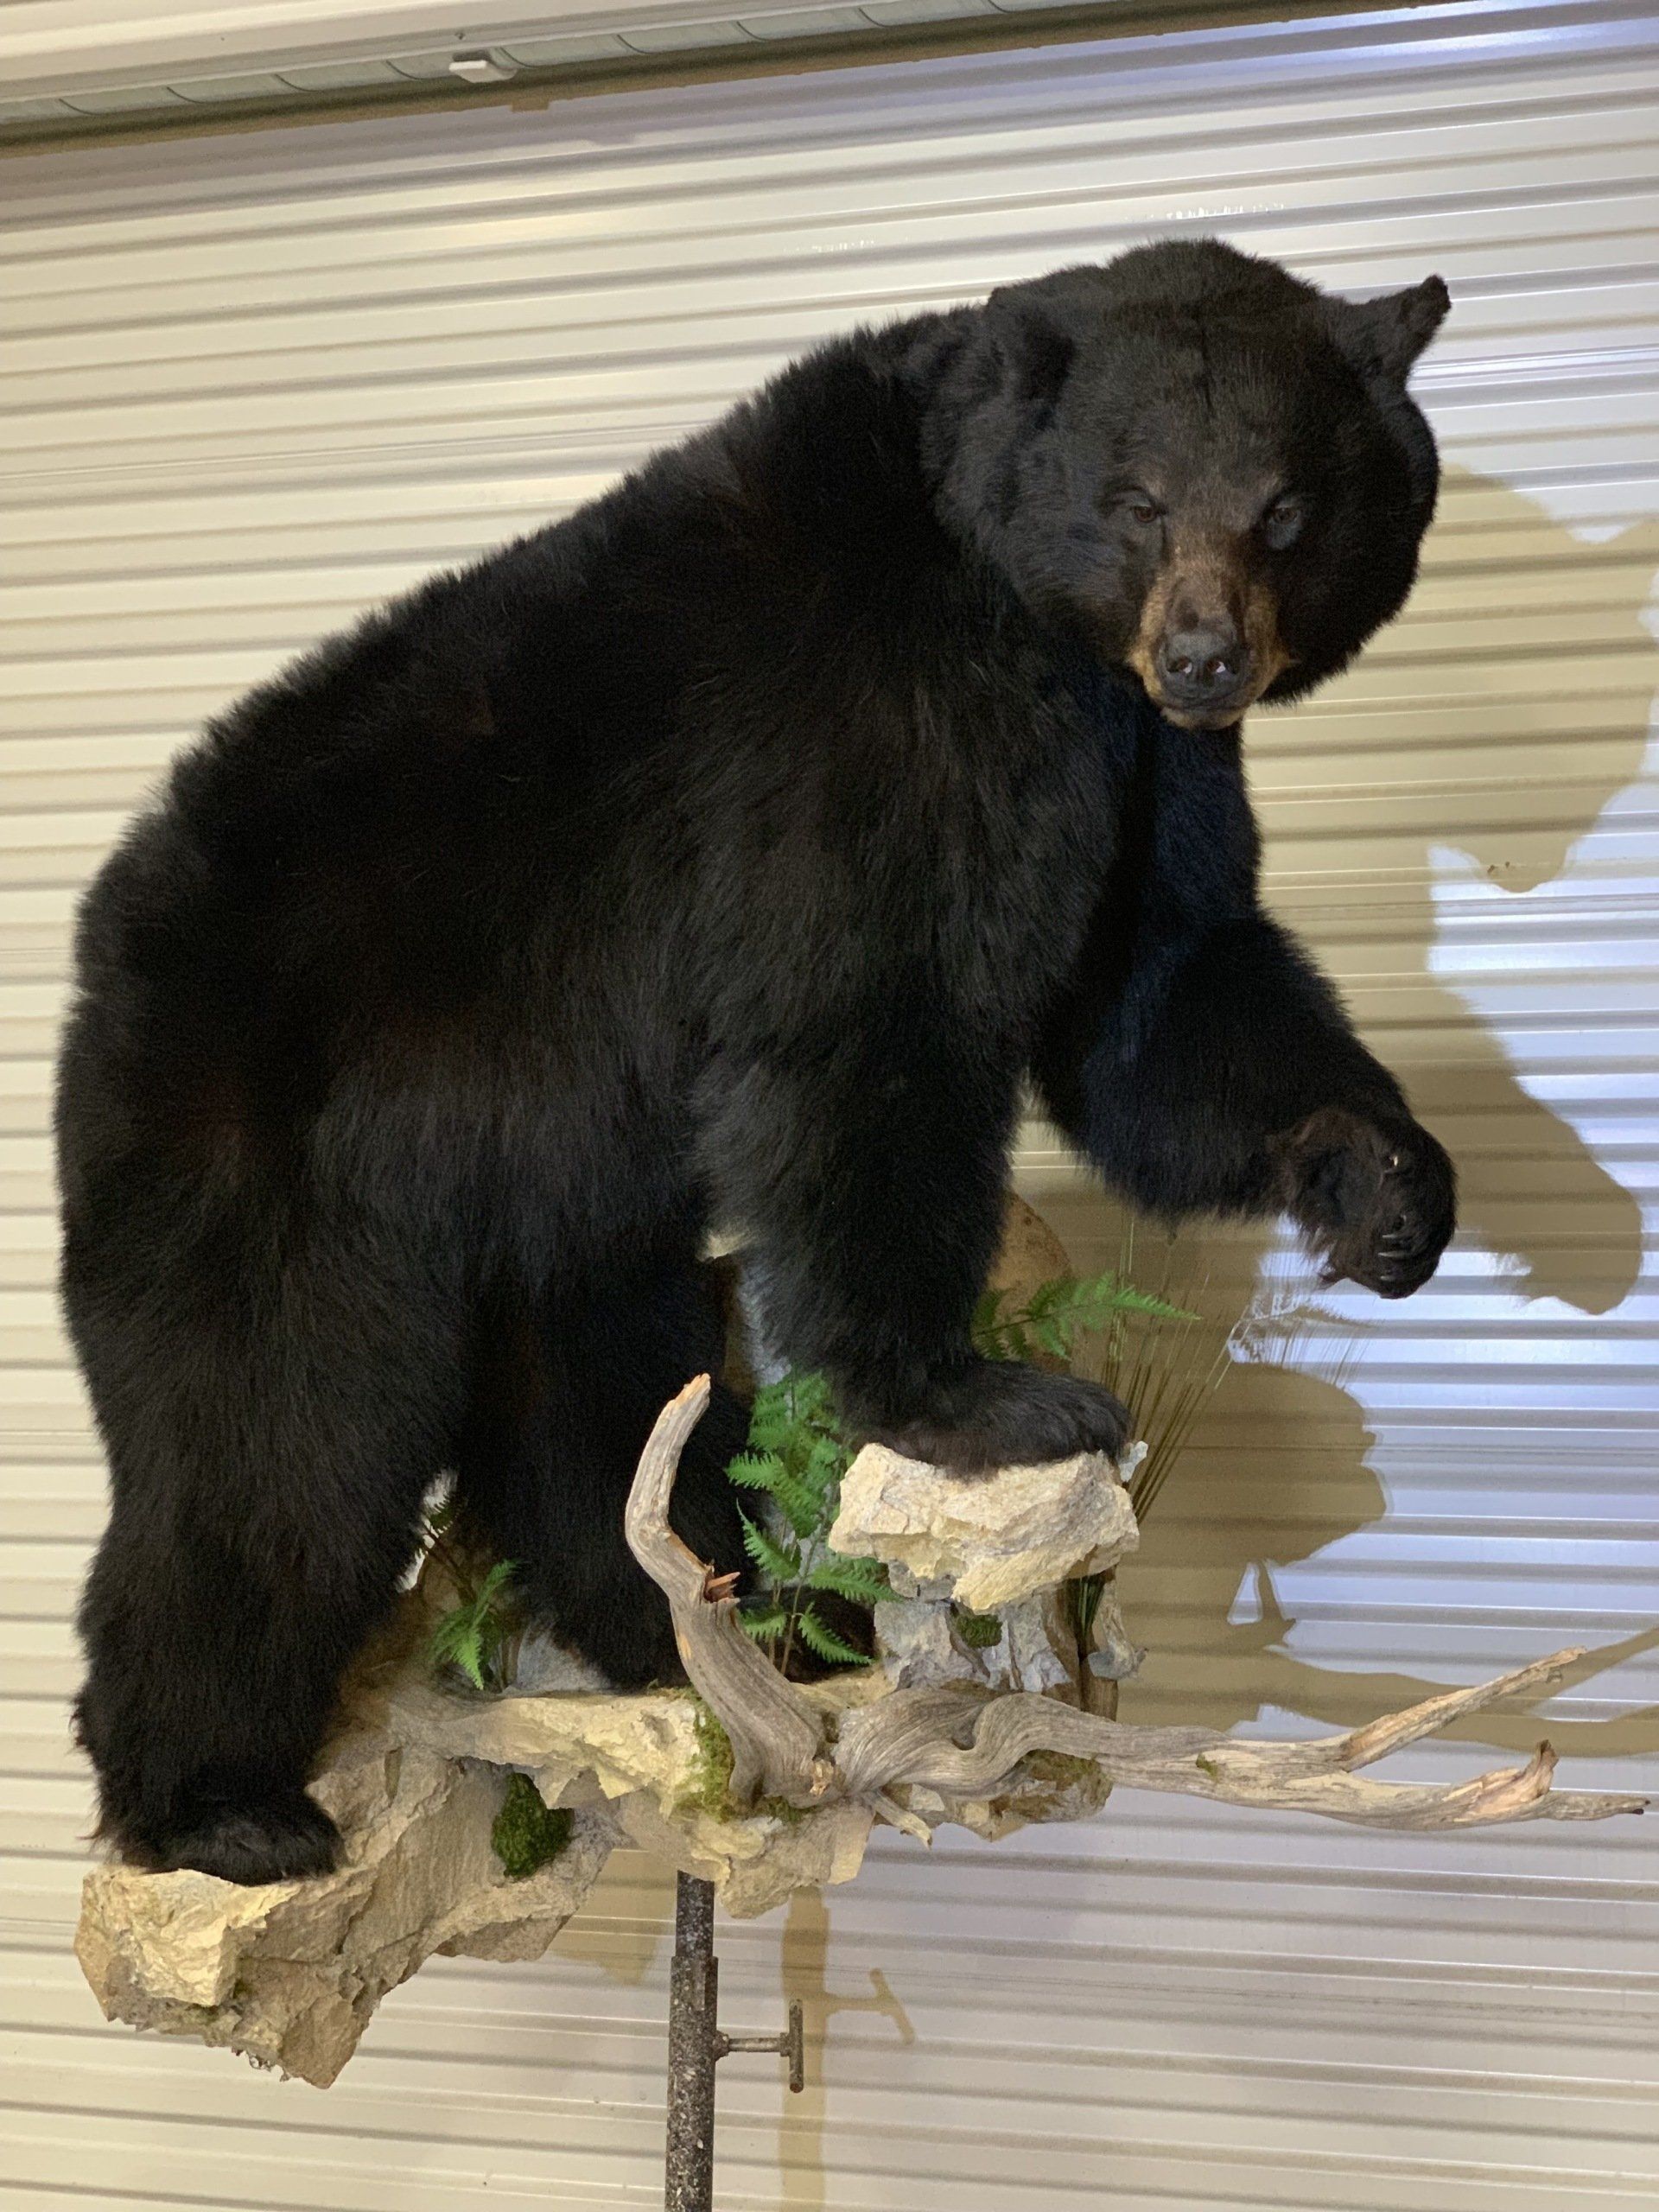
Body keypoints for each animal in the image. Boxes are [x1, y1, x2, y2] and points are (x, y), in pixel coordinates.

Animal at [57, 239, 1457, 1885]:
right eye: (1136, 498)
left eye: (1288, 506)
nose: (1204, 653)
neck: (1022, 616)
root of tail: (107, 942)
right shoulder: (878, 733)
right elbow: (876, 1027)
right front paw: (981, 1401)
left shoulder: (1145, 758)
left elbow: (1164, 981)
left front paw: (1384, 1182)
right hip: (266, 1138)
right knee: (268, 1436)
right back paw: (219, 1801)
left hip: (543, 1183)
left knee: (596, 1387)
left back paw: (689, 1615)